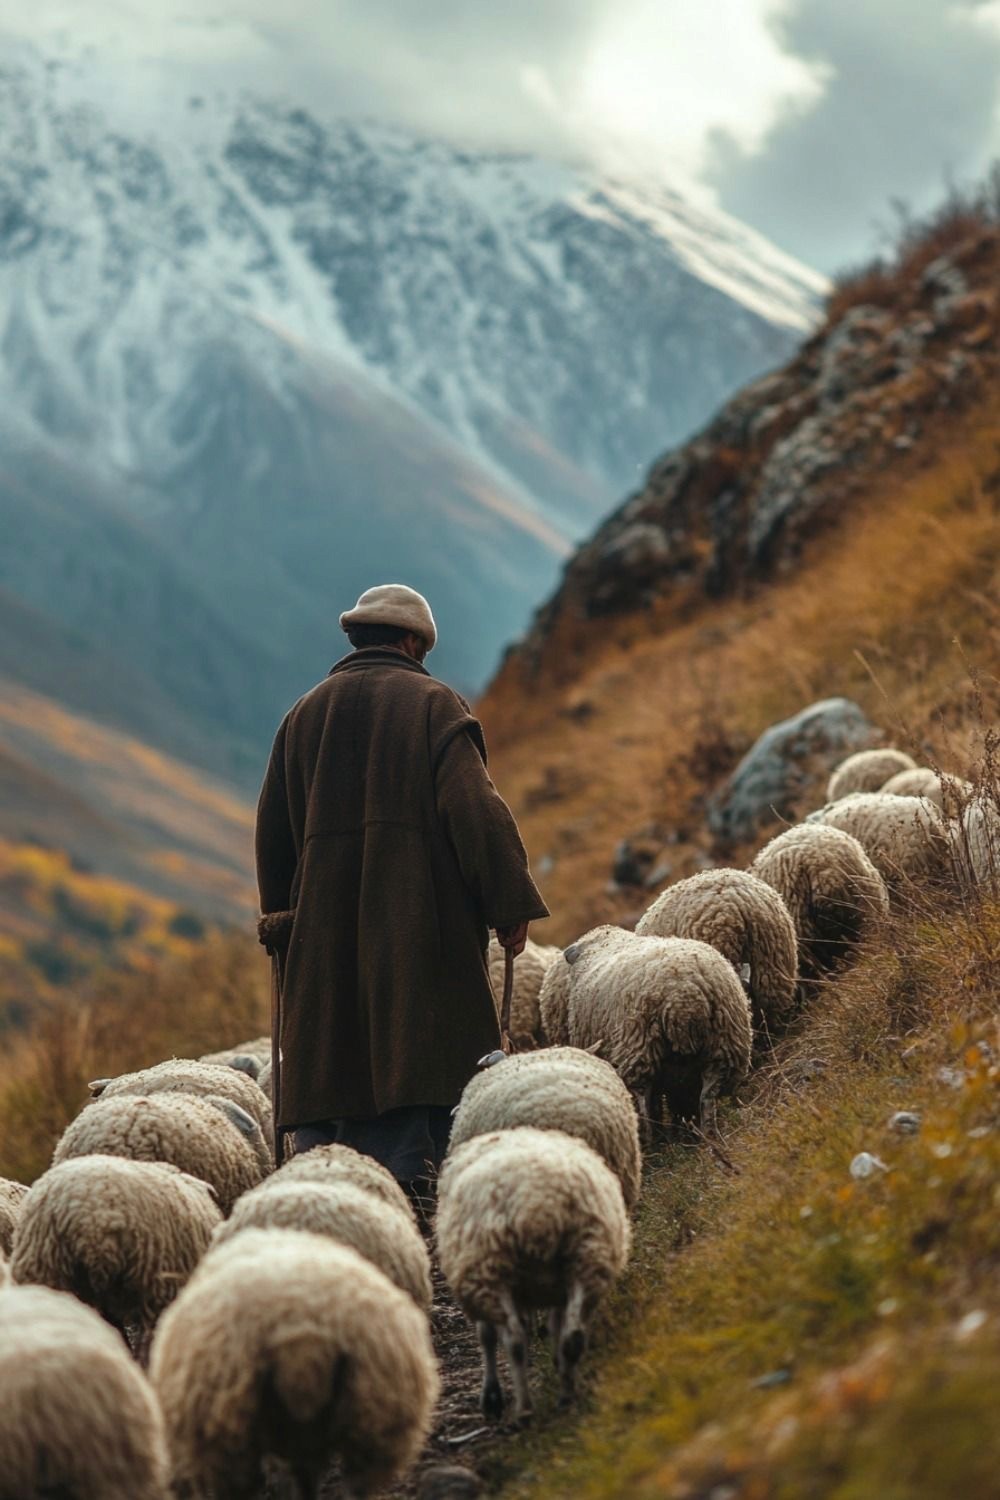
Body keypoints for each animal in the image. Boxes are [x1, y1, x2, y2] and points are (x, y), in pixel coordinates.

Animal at [437, 1126, 630, 1420]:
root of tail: (537, 1206)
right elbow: (555, 1325)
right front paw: (557, 1363)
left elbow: (487, 1337)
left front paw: (491, 1397)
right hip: (586, 1260)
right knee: (573, 1336)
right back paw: (567, 1397)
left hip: (493, 1272)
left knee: (515, 1341)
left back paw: (525, 1409)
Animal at [558, 927, 752, 1133]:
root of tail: (684, 997)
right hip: (723, 1048)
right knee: (708, 1095)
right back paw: (708, 1135)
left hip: (639, 1044)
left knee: (642, 1098)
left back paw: (650, 1136)